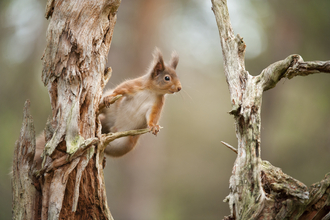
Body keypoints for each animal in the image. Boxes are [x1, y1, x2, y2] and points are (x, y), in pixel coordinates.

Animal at [34, 48, 180, 165]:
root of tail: (112, 127)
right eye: (167, 78)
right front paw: (110, 97)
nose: (179, 88)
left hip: (123, 145)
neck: (152, 91)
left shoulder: (157, 104)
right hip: (111, 113)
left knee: (109, 147)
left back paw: (100, 143)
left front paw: (154, 126)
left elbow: (153, 117)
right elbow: (121, 89)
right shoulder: (134, 85)